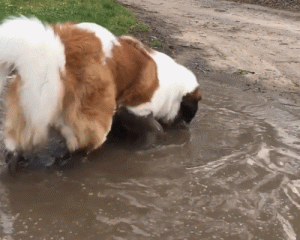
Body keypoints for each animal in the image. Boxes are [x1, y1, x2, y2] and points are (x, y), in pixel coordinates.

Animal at [0, 15, 202, 171]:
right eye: (188, 112)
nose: (186, 127)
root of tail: (59, 52)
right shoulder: (135, 108)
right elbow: (155, 128)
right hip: (96, 118)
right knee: (81, 148)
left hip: (28, 112)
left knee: (14, 147)